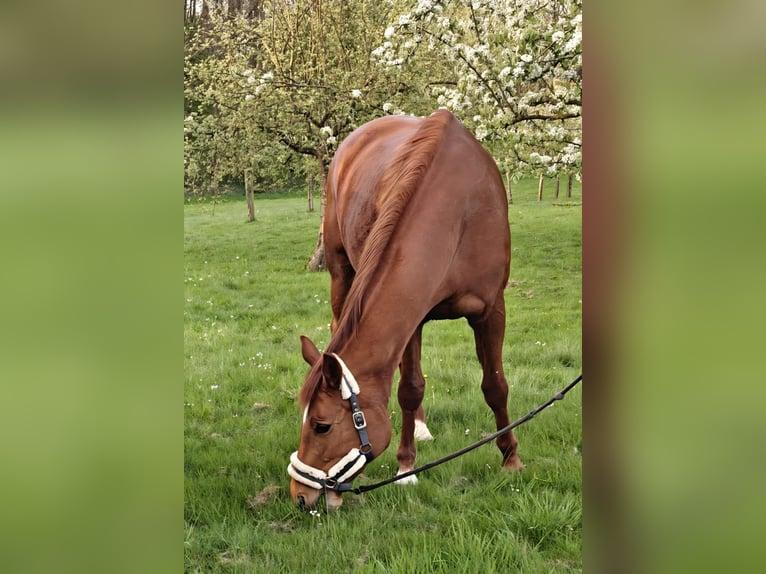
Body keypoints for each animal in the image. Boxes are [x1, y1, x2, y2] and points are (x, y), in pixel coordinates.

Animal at [288, 109, 523, 510]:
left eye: (321, 425)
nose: (299, 495)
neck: (459, 210)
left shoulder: (491, 311)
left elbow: (495, 385)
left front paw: (511, 458)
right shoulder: (413, 318)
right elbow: (410, 388)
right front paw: (406, 467)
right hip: (341, 271)